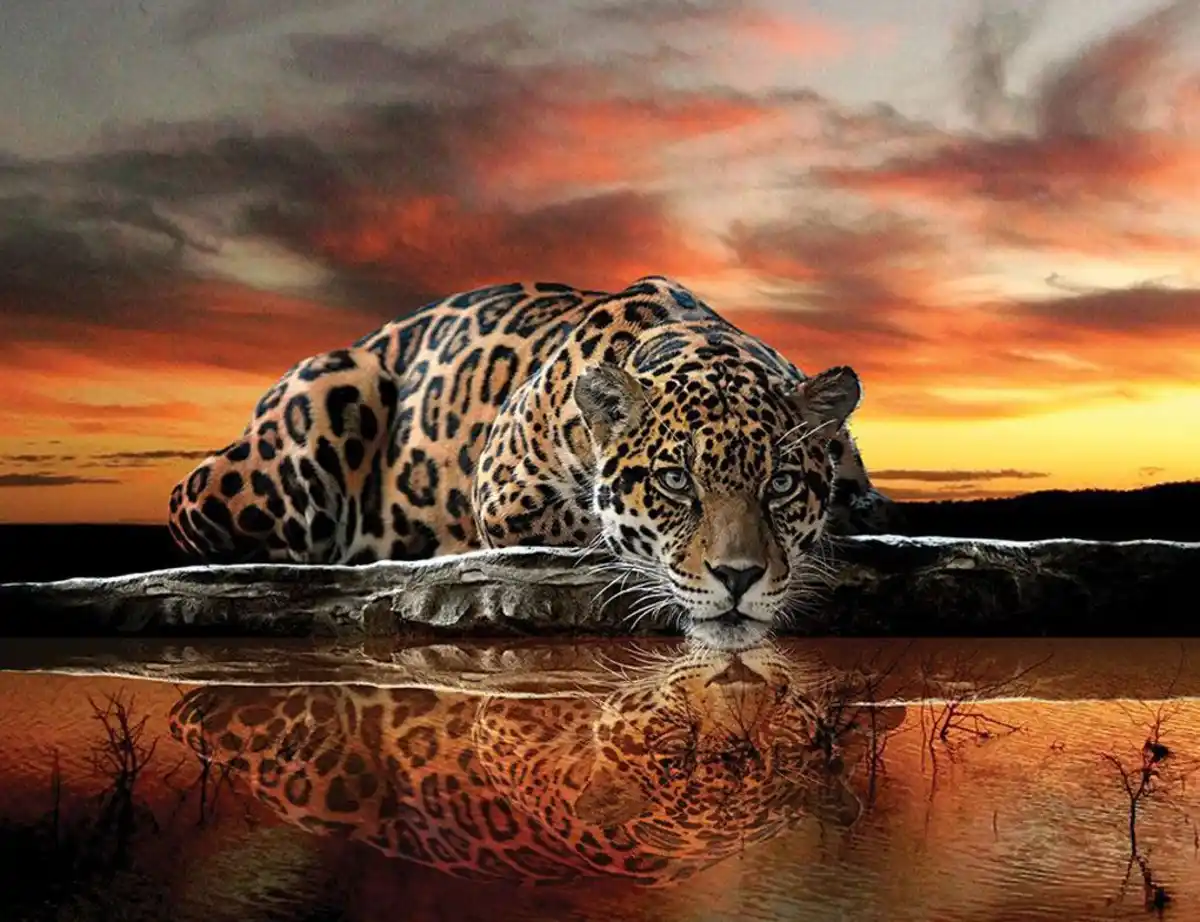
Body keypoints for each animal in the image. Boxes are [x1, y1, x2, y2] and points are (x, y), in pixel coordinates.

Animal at [168, 275, 900, 649]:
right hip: (324, 398)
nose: (739, 578)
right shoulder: (504, 490)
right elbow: (596, 528)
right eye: (674, 481)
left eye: (781, 483)